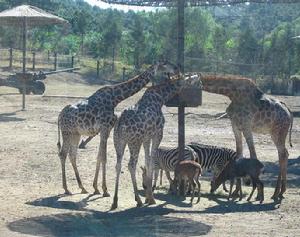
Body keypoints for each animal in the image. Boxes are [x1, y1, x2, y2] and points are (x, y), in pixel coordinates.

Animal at [56, 61, 179, 196]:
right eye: (164, 64)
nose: (176, 69)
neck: (115, 98)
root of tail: (60, 116)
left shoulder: (105, 130)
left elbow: (99, 157)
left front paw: (96, 188)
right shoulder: (105, 128)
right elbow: (103, 157)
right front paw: (104, 189)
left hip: (75, 134)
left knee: (72, 155)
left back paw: (82, 187)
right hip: (67, 132)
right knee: (63, 154)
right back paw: (66, 189)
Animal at [111, 73, 203, 208]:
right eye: (198, 82)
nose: (200, 94)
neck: (160, 98)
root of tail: (120, 123)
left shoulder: (146, 138)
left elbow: (148, 160)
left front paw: (148, 196)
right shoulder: (158, 134)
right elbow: (152, 161)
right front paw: (150, 198)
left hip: (118, 141)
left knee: (118, 165)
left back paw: (115, 201)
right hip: (134, 142)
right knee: (131, 165)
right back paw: (138, 200)